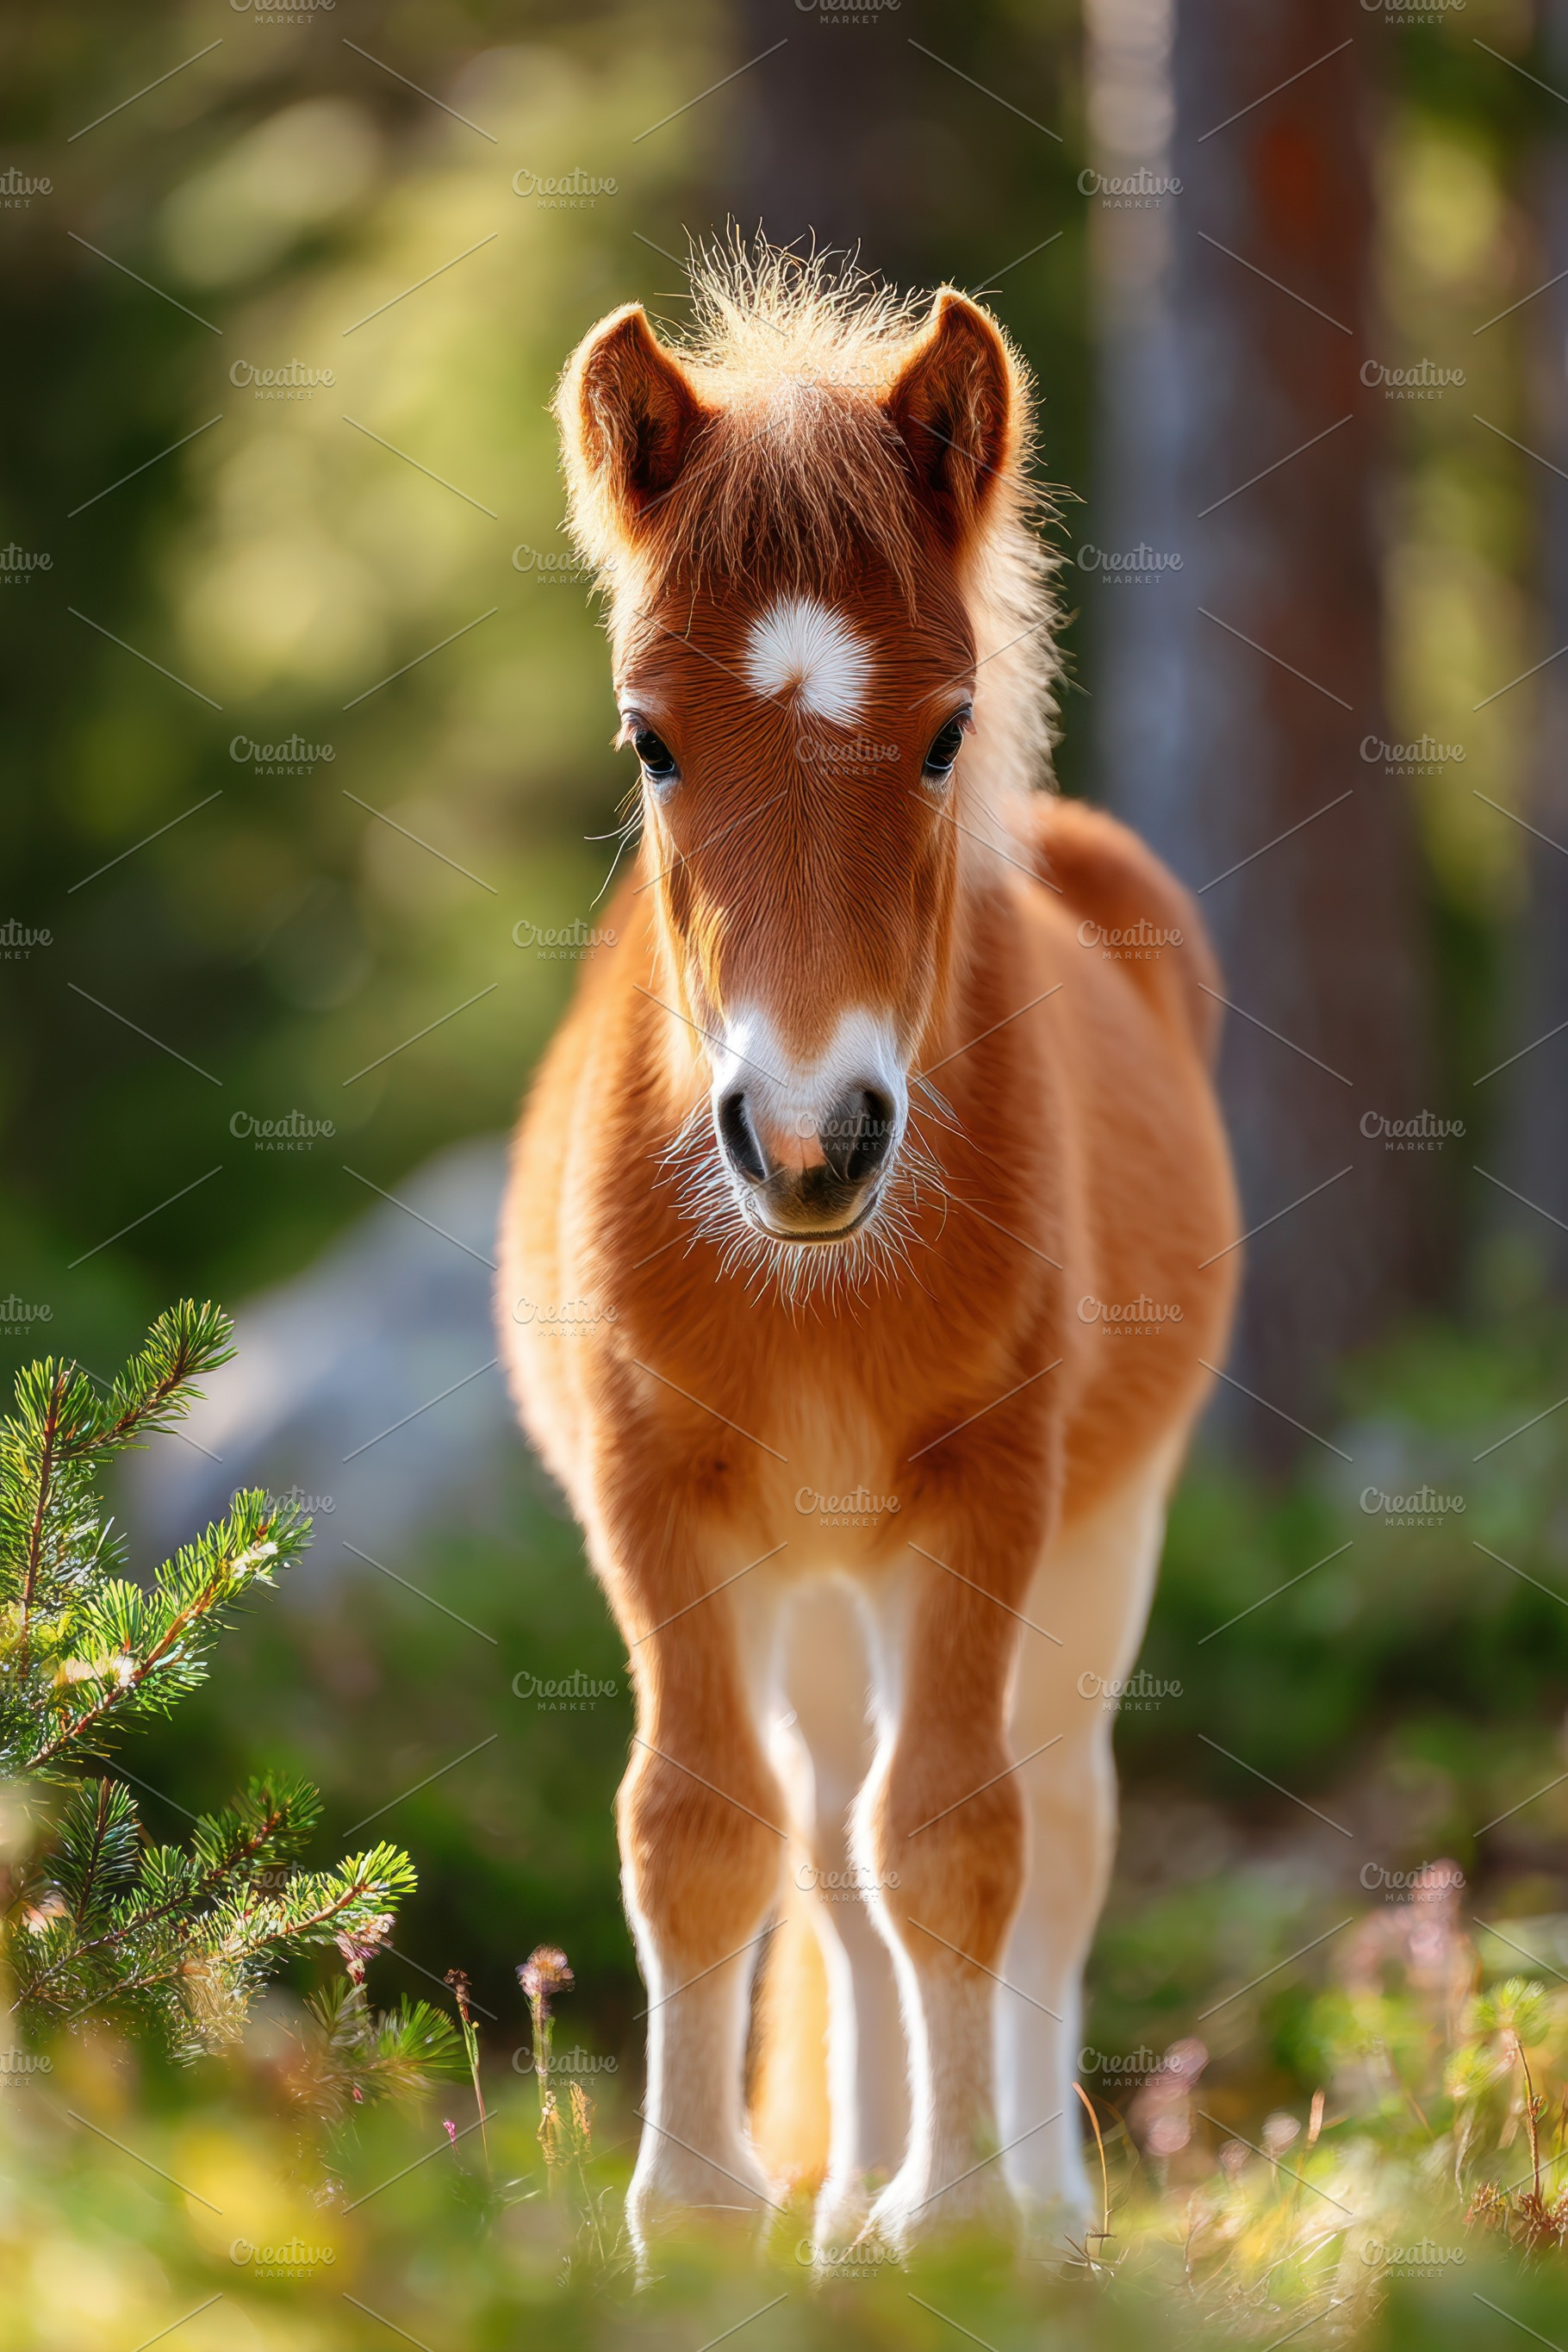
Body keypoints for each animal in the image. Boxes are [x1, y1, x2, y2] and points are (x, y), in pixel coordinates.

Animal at [499, 250, 1239, 2258]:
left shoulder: (993, 1494)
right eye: (651, 739)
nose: (809, 1138)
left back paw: (1033, 2212)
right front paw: (699, 2217)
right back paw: (844, 2206)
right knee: (826, 1834)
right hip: (822, 1583)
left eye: (943, 732)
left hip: (1090, 1534)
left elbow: (962, 1836)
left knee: (1051, 1824)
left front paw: (969, 2222)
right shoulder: (653, 1493)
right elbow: (703, 1830)